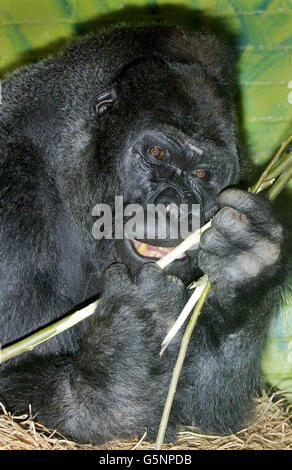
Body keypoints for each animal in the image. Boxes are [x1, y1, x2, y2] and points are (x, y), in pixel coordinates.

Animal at [0, 25, 288, 444]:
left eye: (202, 174)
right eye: (156, 153)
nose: (175, 207)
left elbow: (205, 413)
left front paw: (246, 269)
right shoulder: (11, 187)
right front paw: (131, 345)